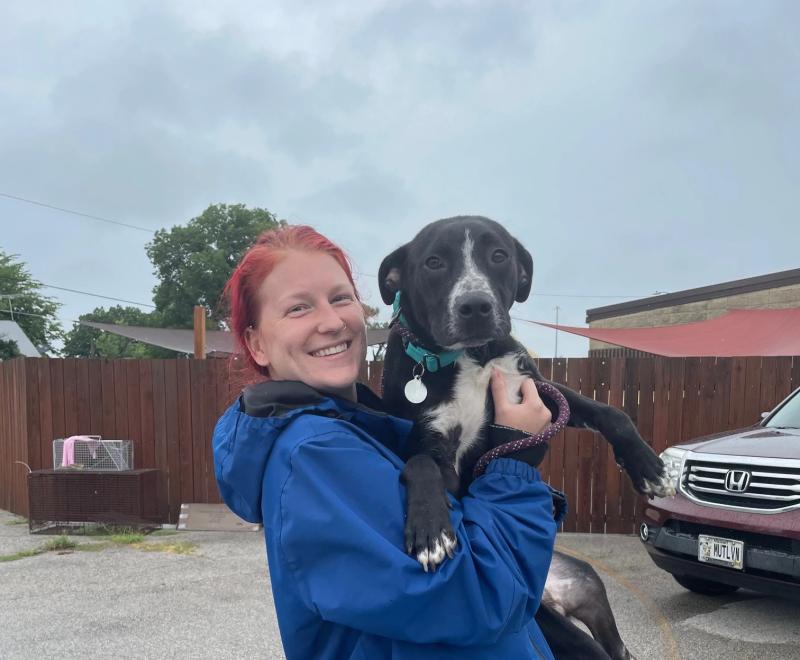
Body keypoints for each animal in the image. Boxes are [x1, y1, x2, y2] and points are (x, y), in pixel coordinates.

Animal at [378, 215, 664, 656]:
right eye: (433, 262)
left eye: (499, 256)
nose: (475, 306)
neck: (472, 357)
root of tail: (548, 594)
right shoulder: (432, 444)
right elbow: (421, 461)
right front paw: (430, 530)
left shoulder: (541, 392)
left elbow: (611, 412)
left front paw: (646, 467)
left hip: (590, 590)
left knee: (617, 649)